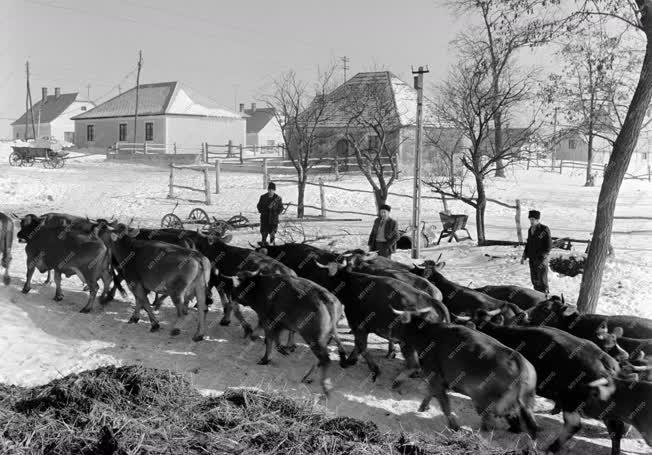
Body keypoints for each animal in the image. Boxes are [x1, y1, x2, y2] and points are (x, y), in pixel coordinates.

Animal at [223, 270, 348, 400]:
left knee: (325, 360)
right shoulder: (276, 323)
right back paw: (308, 377)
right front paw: (283, 350)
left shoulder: (267, 319)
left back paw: (325, 388)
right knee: (320, 360)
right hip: (323, 339)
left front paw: (265, 359)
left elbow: (268, 339)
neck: (258, 285)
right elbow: (268, 337)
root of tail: (327, 300)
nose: (231, 296)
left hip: (313, 339)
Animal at [314, 258, 450, 382]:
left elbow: (362, 346)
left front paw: (373, 369)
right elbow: (359, 346)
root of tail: (432, 300)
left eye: (329, 276)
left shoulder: (358, 326)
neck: (351, 284)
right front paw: (351, 361)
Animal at [390, 308, 536, 440]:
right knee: (520, 422)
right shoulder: (437, 380)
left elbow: (444, 404)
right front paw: (422, 407)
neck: (427, 334)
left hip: (484, 403)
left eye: (397, 321)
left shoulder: (435, 377)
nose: (389, 331)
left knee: (490, 424)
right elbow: (431, 393)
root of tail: (520, 364)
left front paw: (454, 427)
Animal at [460, 314, 620, 455]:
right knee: (615, 429)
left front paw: (515, 427)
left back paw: (553, 447)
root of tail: (604, 361)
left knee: (573, 424)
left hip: (570, 399)